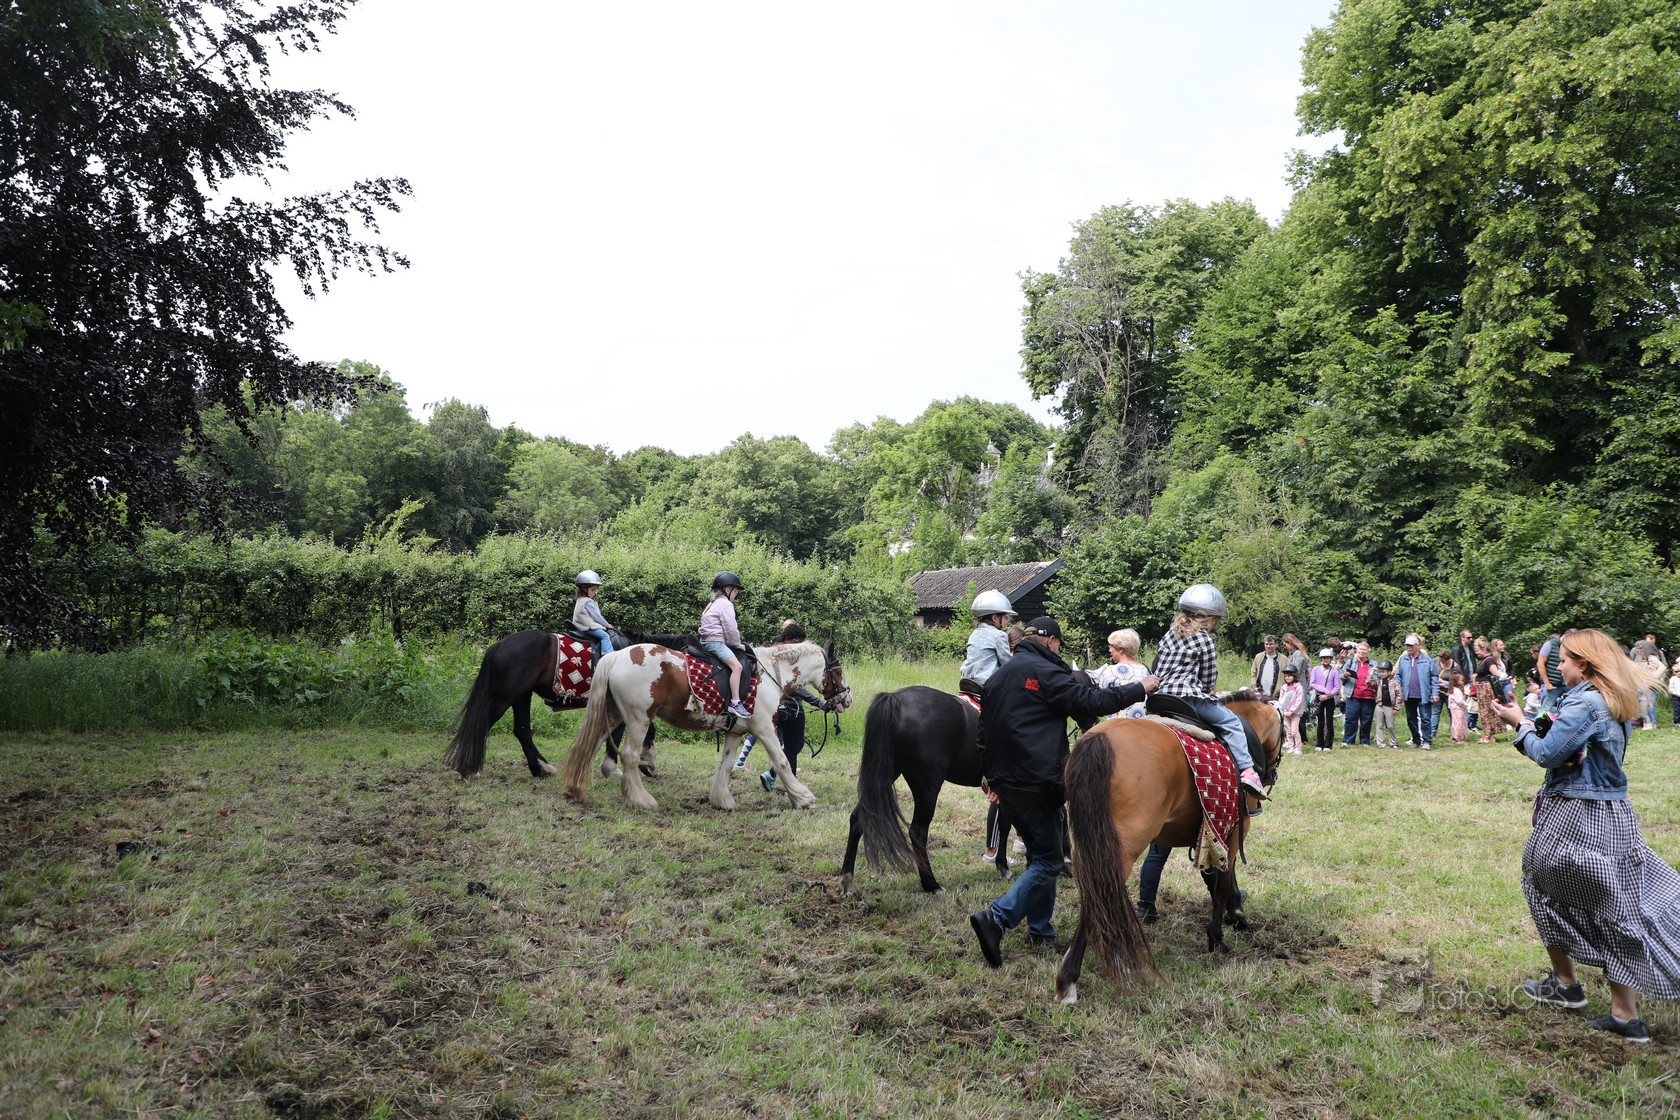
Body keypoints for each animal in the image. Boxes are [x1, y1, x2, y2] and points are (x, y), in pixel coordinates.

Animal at [559, 640, 851, 812]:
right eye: (838, 671)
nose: (847, 699)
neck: (768, 674)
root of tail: (617, 656)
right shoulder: (765, 729)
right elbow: (782, 761)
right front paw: (802, 797)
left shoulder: (735, 732)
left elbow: (726, 764)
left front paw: (722, 800)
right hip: (639, 717)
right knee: (630, 755)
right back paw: (641, 799)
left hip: (613, 715)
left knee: (591, 744)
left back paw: (576, 788)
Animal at [1054, 692, 1284, 1005]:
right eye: (1284, 734)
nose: (1270, 775)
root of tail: (1099, 739)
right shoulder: (1235, 828)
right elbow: (1224, 879)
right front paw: (1221, 932)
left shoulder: (1210, 829)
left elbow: (1213, 876)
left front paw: (1233, 914)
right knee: (1098, 895)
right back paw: (1070, 979)